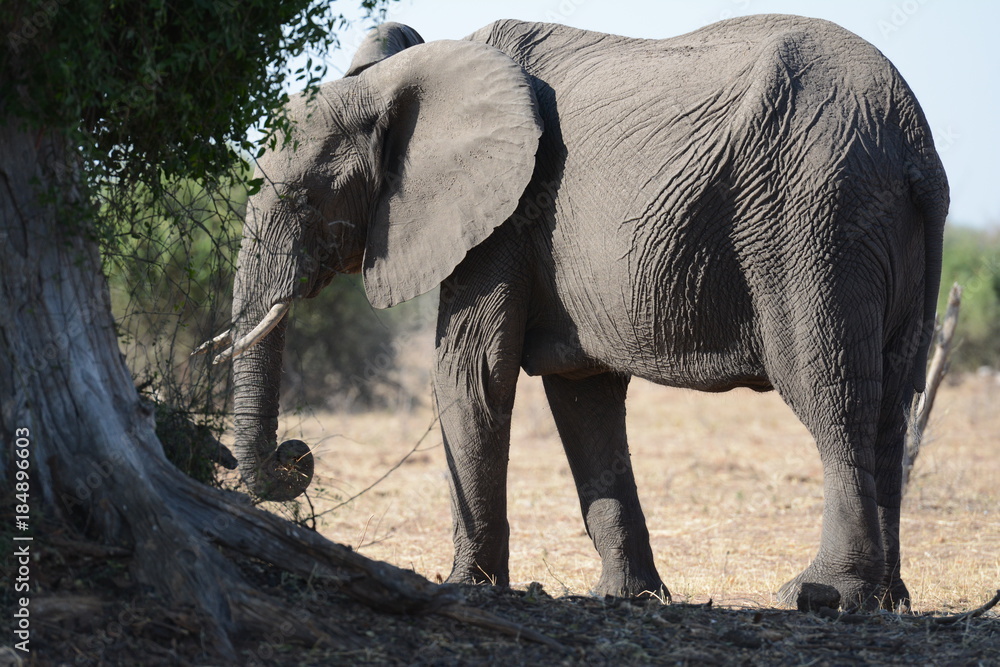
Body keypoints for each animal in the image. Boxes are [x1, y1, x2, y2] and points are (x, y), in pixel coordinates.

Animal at [200, 15, 948, 610]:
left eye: (303, 197)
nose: (298, 455)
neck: (394, 82)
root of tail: (910, 139)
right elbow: (583, 395)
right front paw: (627, 597)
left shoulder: (502, 219)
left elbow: (472, 374)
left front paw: (465, 588)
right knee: (893, 402)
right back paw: (889, 600)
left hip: (813, 220)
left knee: (833, 397)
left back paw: (821, 596)